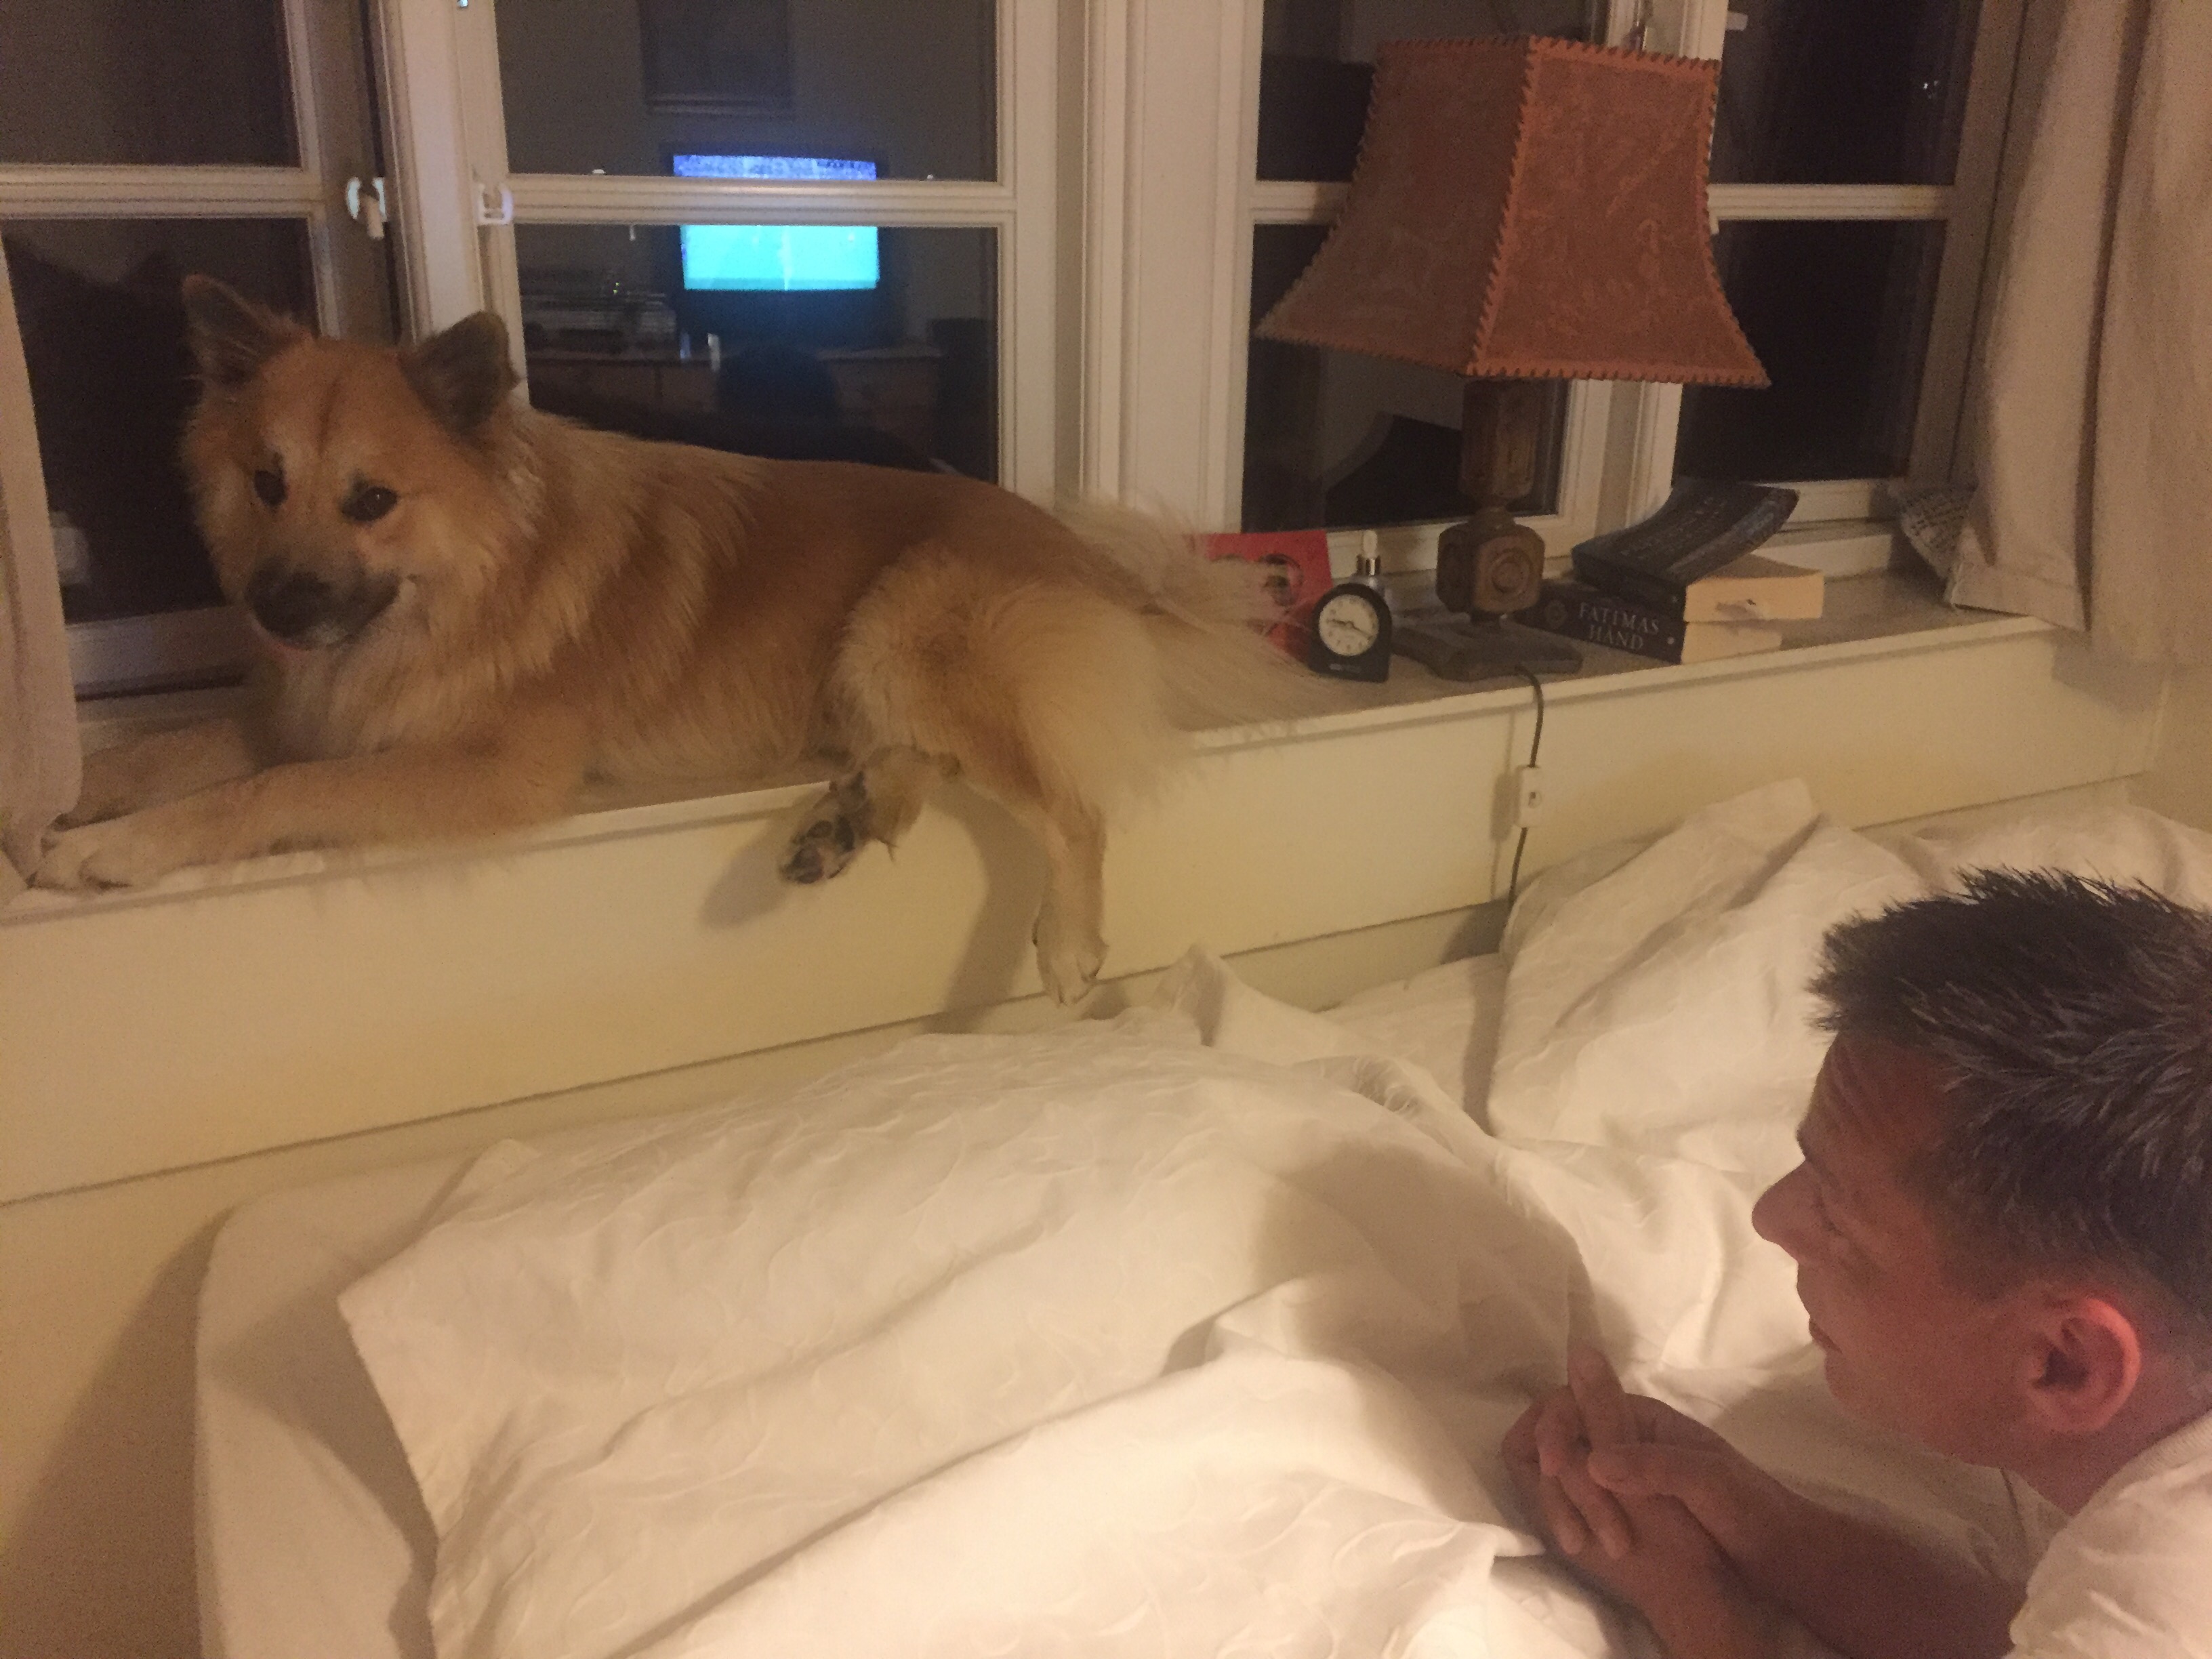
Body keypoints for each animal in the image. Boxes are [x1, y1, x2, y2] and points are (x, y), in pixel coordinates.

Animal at [35, 278, 1314, 1002]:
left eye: (371, 501)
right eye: (265, 483)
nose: (276, 610)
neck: (470, 580)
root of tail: (1091, 565)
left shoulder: (491, 765)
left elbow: (269, 792)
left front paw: (114, 849)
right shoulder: (306, 706)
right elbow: (178, 750)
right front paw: (77, 799)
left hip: (903, 624)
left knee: (1067, 804)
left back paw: (1065, 942)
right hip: (868, 663)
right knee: (925, 758)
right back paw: (845, 821)